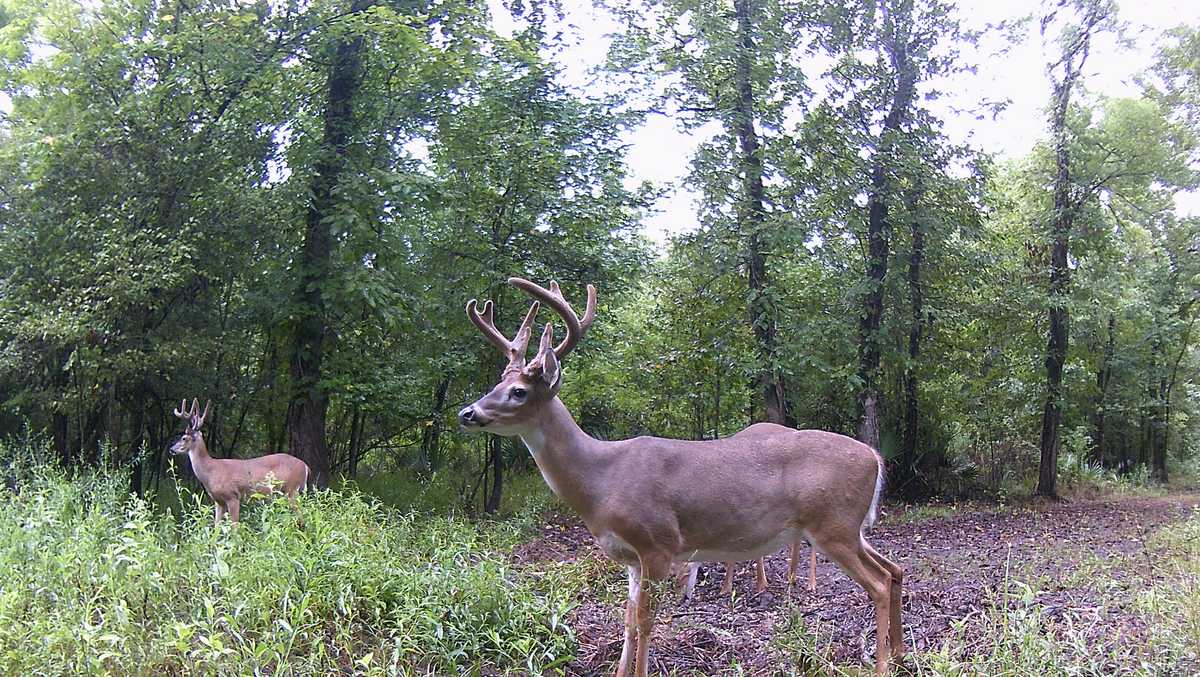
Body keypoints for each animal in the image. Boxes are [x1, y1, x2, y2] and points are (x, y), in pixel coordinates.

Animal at [170, 398, 310, 525]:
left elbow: (234, 528)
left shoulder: (233, 496)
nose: (171, 449)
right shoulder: (218, 501)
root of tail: (306, 466)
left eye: (184, 438)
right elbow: (216, 528)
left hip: (292, 489)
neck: (211, 472)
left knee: (302, 518)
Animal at [458, 278, 905, 677]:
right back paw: (899, 656)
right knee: (894, 570)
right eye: (497, 382)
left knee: (879, 583)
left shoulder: (658, 543)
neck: (602, 481)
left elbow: (646, 621)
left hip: (833, 525)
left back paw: (883, 666)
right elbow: (627, 620)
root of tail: (875, 457)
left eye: (518, 391)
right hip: (849, 527)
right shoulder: (630, 557)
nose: (467, 413)